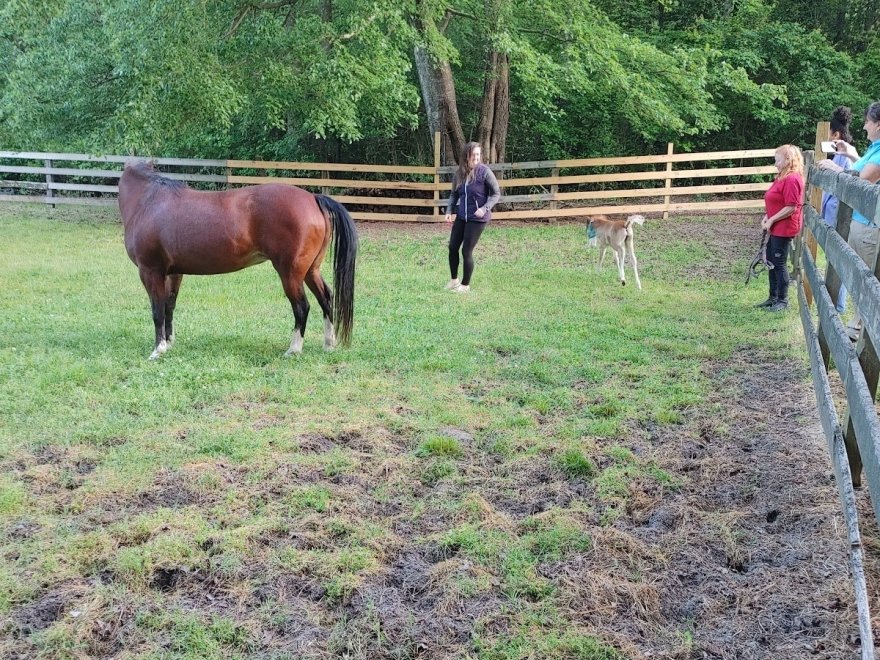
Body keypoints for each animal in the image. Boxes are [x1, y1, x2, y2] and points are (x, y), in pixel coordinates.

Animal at [118, 162, 356, 358]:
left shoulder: (150, 271)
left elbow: (157, 310)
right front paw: (168, 343)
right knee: (326, 298)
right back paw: (329, 344)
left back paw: (294, 349)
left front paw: (158, 350)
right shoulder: (174, 272)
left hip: (291, 273)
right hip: (310, 270)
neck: (148, 203)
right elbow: (169, 306)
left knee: (302, 306)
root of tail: (314, 199)